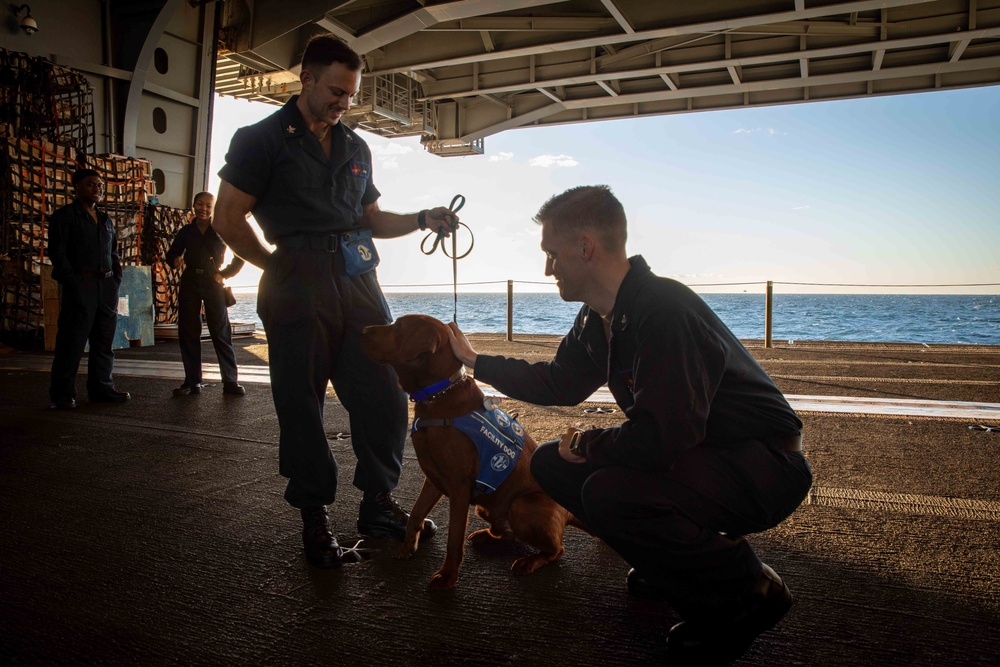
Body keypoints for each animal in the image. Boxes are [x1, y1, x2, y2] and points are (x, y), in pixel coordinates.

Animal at [362, 314, 584, 588]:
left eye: (398, 327)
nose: (362, 330)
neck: (436, 396)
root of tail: (567, 512)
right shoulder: (432, 478)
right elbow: (416, 513)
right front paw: (407, 548)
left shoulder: (459, 487)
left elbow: (453, 538)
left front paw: (447, 576)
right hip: (486, 508)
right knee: (508, 534)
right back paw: (486, 536)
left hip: (522, 506)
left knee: (556, 550)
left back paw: (529, 562)